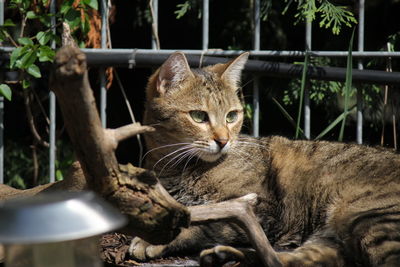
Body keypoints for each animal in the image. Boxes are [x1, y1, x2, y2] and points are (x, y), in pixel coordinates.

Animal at [128, 51, 400, 266]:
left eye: (231, 116)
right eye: (198, 116)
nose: (224, 140)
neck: (178, 168)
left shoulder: (260, 209)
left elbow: (204, 225)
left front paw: (152, 240)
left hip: (370, 219)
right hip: (331, 236)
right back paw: (227, 256)